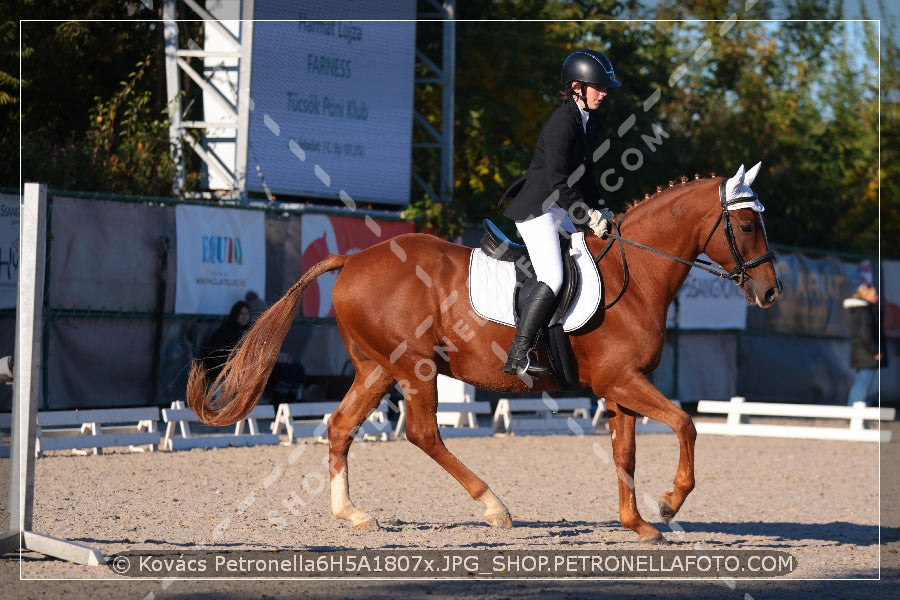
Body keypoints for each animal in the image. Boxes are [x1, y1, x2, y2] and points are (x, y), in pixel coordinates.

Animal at [188, 164, 780, 544]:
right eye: (747, 225)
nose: (770, 292)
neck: (634, 276)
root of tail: (353, 258)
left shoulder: (620, 389)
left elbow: (626, 454)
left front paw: (638, 524)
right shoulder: (622, 380)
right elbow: (685, 424)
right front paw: (671, 502)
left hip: (378, 369)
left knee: (340, 426)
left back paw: (352, 514)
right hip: (416, 369)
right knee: (422, 433)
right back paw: (495, 507)